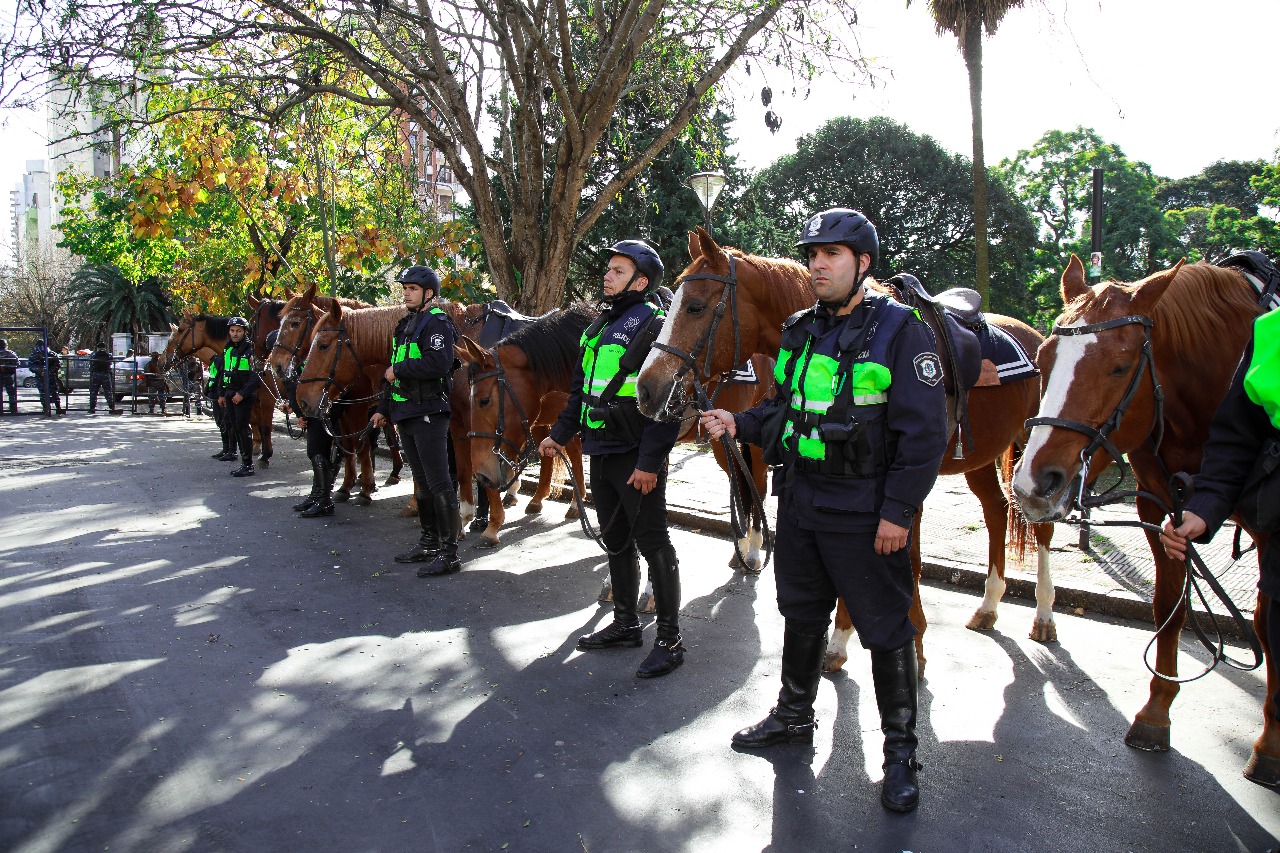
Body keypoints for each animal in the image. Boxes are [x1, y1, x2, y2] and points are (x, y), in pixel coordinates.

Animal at [1008, 256, 1280, 788]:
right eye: (1044, 359)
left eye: (1119, 366)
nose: (1034, 483)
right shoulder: (1161, 511)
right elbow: (1170, 603)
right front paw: (1156, 714)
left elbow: (1270, 624)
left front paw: (1271, 745)